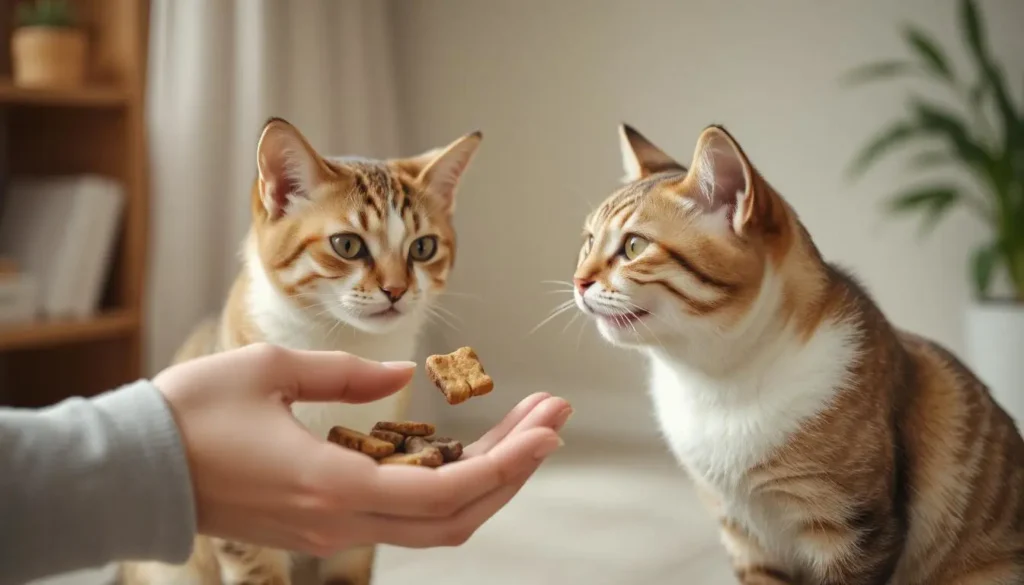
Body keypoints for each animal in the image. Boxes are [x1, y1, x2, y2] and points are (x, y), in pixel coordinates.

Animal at [120, 116, 483, 585]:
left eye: (423, 248)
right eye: (347, 245)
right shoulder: (245, 532)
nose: (396, 290)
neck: (342, 343)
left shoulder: (354, 546)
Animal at [573, 122, 1024, 581]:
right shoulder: (743, 535)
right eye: (588, 241)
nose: (578, 281)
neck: (715, 382)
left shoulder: (854, 530)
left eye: (634, 246)